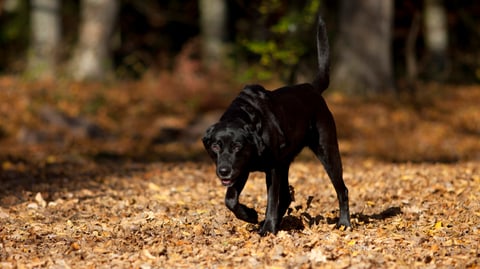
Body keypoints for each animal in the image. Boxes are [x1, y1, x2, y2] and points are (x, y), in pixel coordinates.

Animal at [203, 16, 352, 234]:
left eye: (237, 146)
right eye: (215, 146)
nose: (223, 171)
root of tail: (311, 88)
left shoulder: (270, 168)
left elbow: (271, 200)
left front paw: (267, 228)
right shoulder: (242, 168)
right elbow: (230, 199)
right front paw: (250, 215)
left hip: (327, 151)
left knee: (342, 189)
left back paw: (344, 223)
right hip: (285, 162)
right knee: (287, 197)